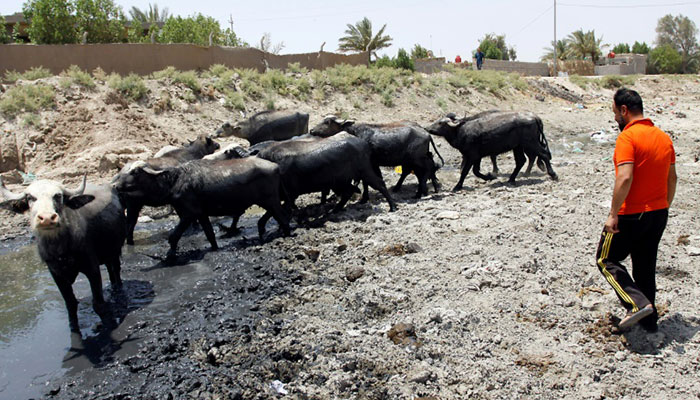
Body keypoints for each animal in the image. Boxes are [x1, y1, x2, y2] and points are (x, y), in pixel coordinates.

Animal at [0, 177, 124, 332]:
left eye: (58, 196)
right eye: (30, 197)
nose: (47, 218)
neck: (61, 249)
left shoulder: (92, 268)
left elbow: (98, 304)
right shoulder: (56, 274)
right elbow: (70, 304)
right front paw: (74, 328)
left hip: (116, 248)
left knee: (116, 269)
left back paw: (118, 289)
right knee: (110, 269)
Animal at [113, 156, 288, 260]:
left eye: (135, 172)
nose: (115, 185)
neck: (175, 181)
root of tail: (275, 166)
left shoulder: (189, 214)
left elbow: (174, 236)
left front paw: (170, 254)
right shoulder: (201, 214)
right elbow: (210, 234)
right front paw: (214, 248)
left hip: (271, 200)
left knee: (282, 217)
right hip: (268, 201)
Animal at [254, 131, 396, 212]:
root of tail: (363, 143)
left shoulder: (291, 193)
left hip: (364, 171)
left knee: (379, 184)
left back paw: (393, 207)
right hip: (342, 180)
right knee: (349, 191)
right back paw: (336, 209)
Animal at [310, 115, 442, 198]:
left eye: (327, 122)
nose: (311, 130)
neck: (357, 134)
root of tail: (426, 134)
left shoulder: (367, 164)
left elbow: (365, 181)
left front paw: (364, 198)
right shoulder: (373, 164)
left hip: (417, 159)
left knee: (429, 167)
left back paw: (423, 190)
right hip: (415, 160)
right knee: (422, 171)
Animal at [426, 109, 556, 191]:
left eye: (441, 123)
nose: (427, 128)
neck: (461, 130)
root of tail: (535, 118)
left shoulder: (472, 156)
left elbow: (466, 171)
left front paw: (457, 186)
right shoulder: (476, 157)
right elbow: (476, 171)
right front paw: (490, 177)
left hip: (530, 143)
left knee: (544, 154)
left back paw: (553, 174)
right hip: (518, 147)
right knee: (521, 161)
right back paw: (511, 179)